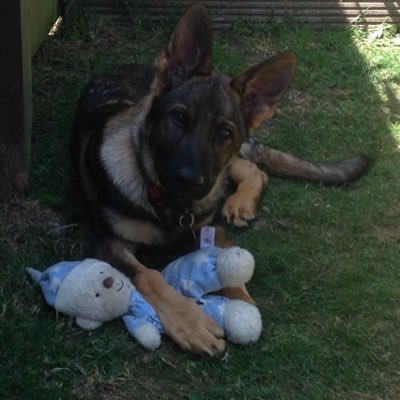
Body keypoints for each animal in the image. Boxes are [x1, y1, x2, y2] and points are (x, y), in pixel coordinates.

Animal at [69, 2, 372, 354]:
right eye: (178, 117)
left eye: (224, 132)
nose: (191, 181)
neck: (169, 205)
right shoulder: (108, 244)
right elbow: (149, 276)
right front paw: (190, 322)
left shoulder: (211, 226)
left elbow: (230, 269)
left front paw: (242, 309)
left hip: (224, 169)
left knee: (254, 169)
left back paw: (240, 203)